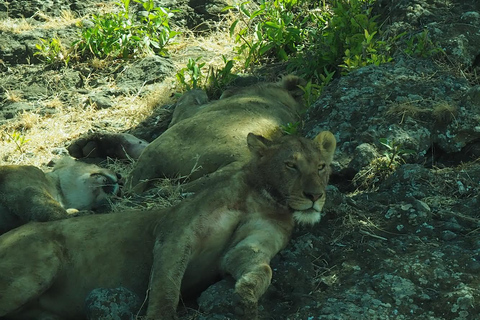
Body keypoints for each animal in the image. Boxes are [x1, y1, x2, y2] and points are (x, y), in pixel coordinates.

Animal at [0, 131, 338, 320]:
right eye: (291, 165)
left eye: (322, 166)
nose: (315, 196)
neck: (264, 199)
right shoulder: (176, 232)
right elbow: (166, 289)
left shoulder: (250, 245)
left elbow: (260, 269)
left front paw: (245, 299)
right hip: (34, 268)